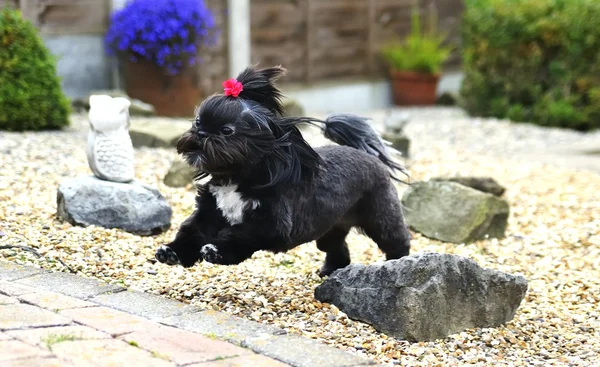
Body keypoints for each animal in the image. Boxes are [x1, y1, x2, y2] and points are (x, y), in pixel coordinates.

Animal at [154, 65, 412, 276]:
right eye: (197, 121)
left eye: (227, 131)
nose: (201, 133)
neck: (234, 180)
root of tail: (369, 156)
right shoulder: (209, 213)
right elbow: (191, 233)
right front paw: (172, 252)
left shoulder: (268, 225)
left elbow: (238, 236)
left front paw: (216, 251)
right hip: (330, 227)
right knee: (338, 247)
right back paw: (330, 270)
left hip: (381, 216)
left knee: (397, 241)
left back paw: (398, 265)